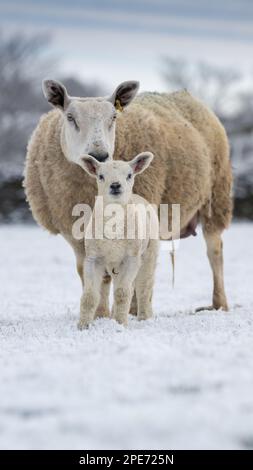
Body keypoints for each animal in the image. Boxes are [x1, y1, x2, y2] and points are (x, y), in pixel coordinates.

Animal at [78, 152, 159, 328]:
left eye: (129, 175)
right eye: (101, 176)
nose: (115, 185)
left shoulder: (131, 258)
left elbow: (123, 293)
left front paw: (121, 324)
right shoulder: (93, 257)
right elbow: (89, 296)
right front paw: (83, 326)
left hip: (149, 253)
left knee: (144, 287)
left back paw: (144, 317)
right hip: (113, 264)